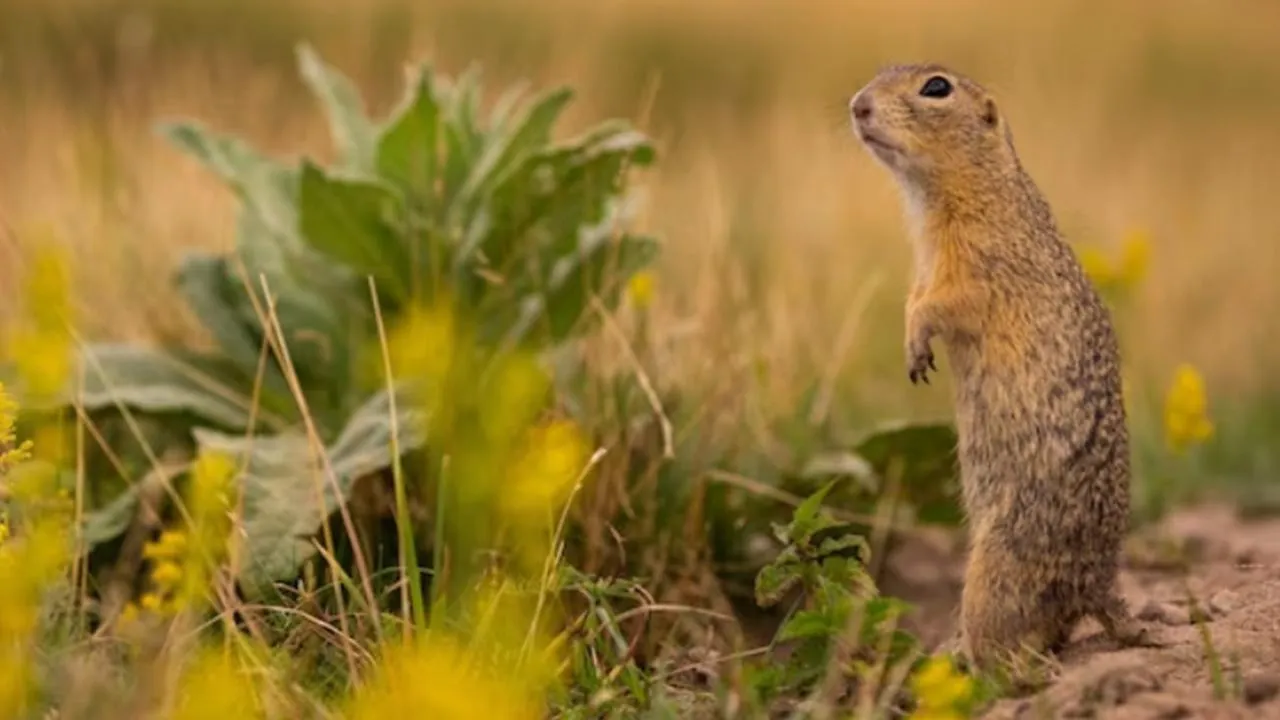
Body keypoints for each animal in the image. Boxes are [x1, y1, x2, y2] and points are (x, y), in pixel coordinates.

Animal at [844, 64, 1157, 671]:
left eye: (936, 87)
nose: (857, 106)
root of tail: (1100, 584)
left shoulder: (979, 264)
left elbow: (945, 302)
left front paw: (918, 341)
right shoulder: (926, 265)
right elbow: (914, 295)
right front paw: (912, 350)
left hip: (995, 565)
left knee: (1019, 648)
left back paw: (964, 663)